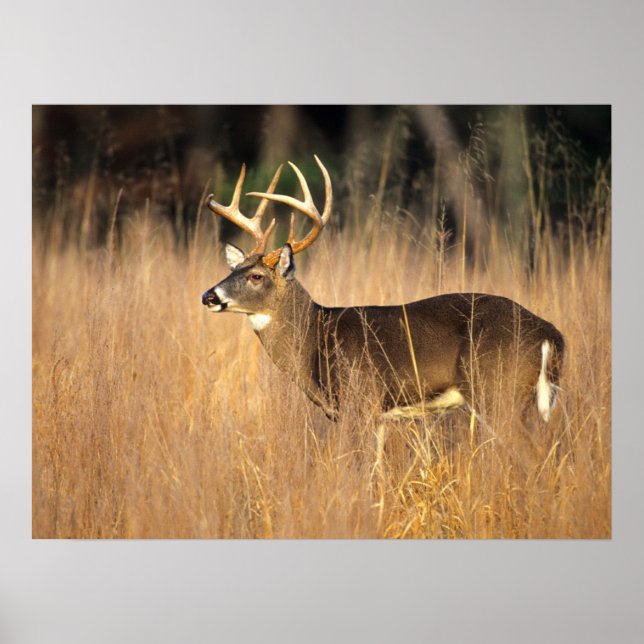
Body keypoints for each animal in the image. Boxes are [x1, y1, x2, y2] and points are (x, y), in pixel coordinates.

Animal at [201, 156, 565, 427]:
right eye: (232, 270)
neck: (316, 337)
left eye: (257, 276)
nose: (209, 296)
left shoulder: (360, 399)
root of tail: (550, 333)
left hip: (496, 390)